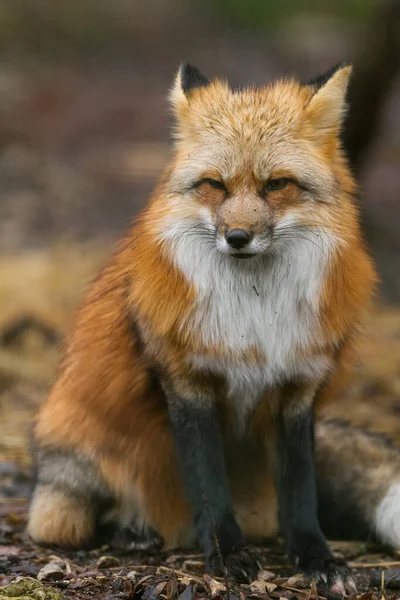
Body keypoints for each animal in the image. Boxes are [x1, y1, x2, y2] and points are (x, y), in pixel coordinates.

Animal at [28, 63, 396, 596]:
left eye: (276, 185)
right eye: (215, 186)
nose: (237, 237)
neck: (254, 317)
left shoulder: (298, 387)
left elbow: (301, 491)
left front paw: (318, 559)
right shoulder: (188, 383)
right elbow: (208, 485)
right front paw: (227, 554)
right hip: (65, 491)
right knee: (78, 518)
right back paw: (133, 531)